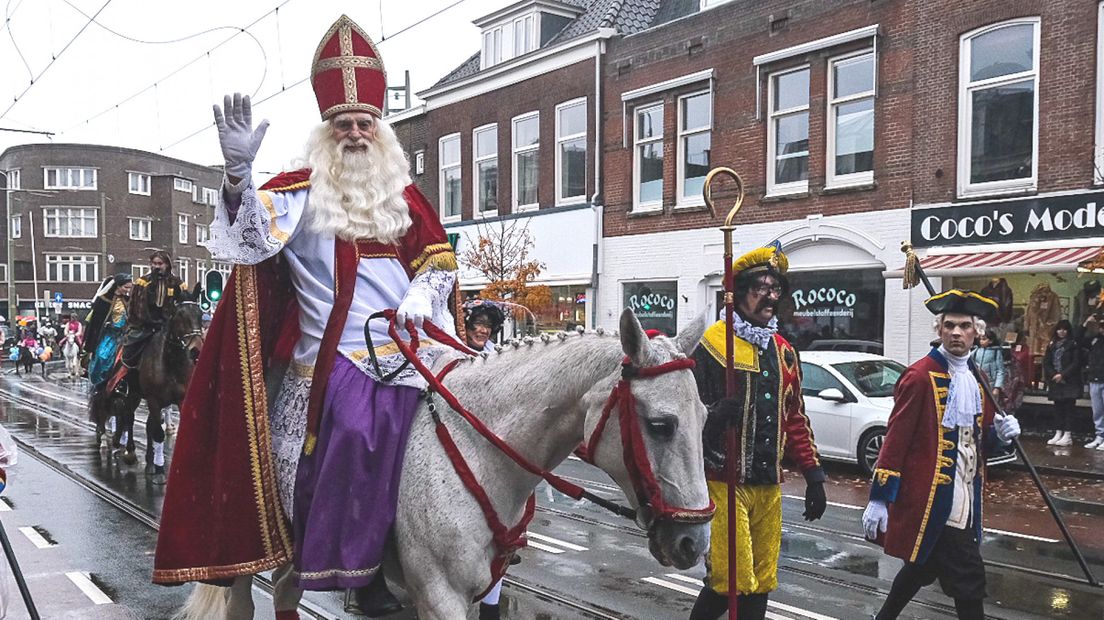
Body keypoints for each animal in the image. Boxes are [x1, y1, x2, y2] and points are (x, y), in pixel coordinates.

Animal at [91, 297, 205, 480]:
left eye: (200, 314)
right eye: (179, 315)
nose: (196, 349)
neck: (171, 361)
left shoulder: (181, 398)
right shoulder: (154, 399)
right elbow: (157, 432)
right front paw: (159, 471)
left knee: (139, 420)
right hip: (131, 394)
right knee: (127, 417)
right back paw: (128, 450)